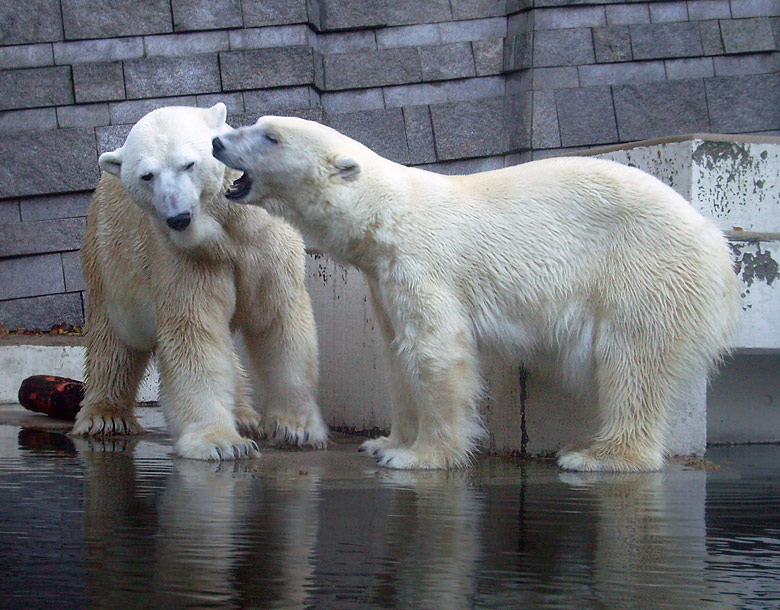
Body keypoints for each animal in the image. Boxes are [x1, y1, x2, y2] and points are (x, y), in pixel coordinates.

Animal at [71, 104, 328, 458]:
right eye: (147, 175)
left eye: (188, 164)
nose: (178, 217)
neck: (224, 229)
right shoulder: (183, 256)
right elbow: (194, 331)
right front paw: (220, 443)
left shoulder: (264, 241)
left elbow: (277, 318)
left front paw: (297, 429)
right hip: (110, 259)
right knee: (114, 340)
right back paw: (105, 418)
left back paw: (244, 415)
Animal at [210, 115, 740, 470]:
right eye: (255, 124)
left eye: (270, 136)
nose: (217, 141)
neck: (386, 215)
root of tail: (714, 241)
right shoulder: (382, 278)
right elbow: (397, 354)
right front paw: (386, 443)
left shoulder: (423, 262)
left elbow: (435, 350)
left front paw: (422, 456)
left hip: (644, 270)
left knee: (633, 361)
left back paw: (597, 456)